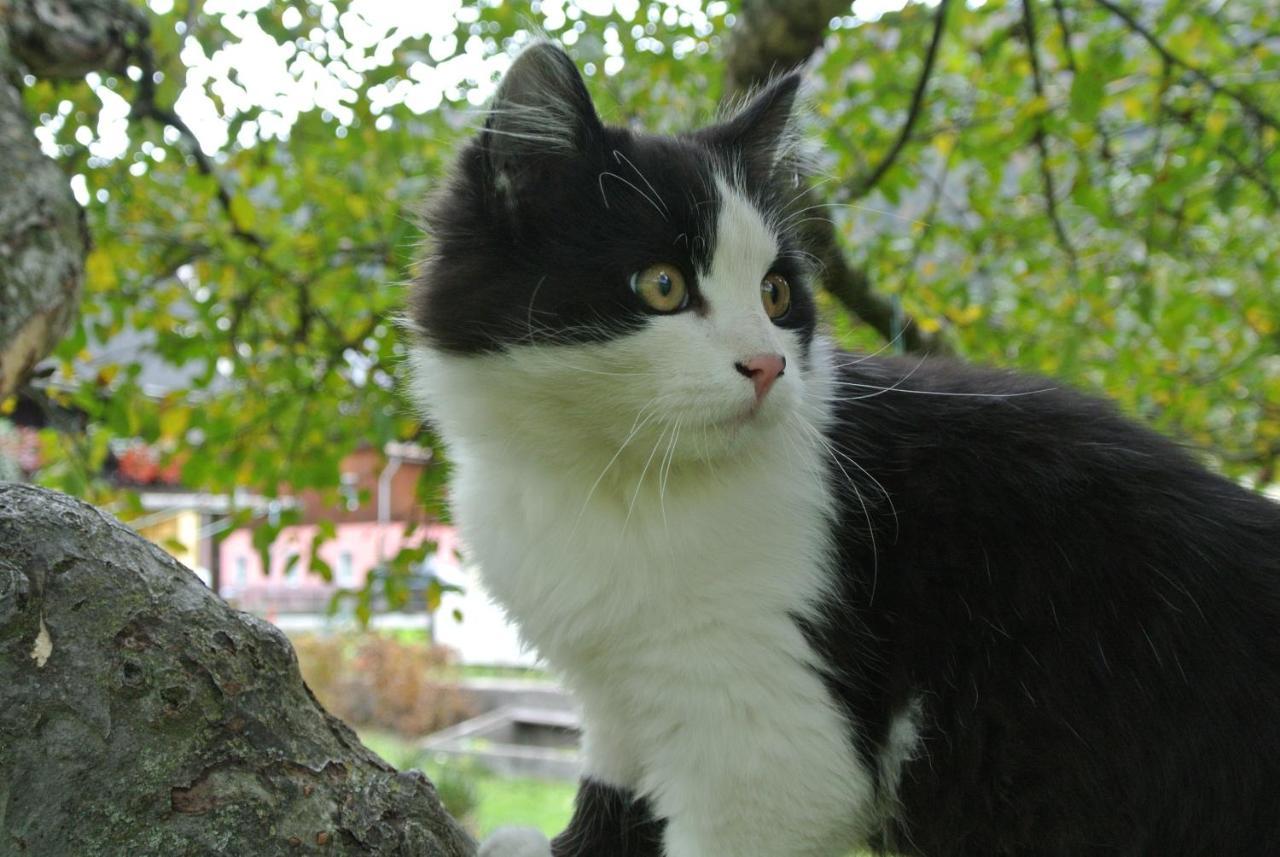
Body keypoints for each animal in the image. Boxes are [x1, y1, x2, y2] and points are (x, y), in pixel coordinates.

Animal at [407, 43, 1280, 857]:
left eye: (775, 294)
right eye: (662, 286)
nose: (767, 365)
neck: (609, 478)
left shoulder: (769, 748)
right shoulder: (615, 685)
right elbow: (617, 785)